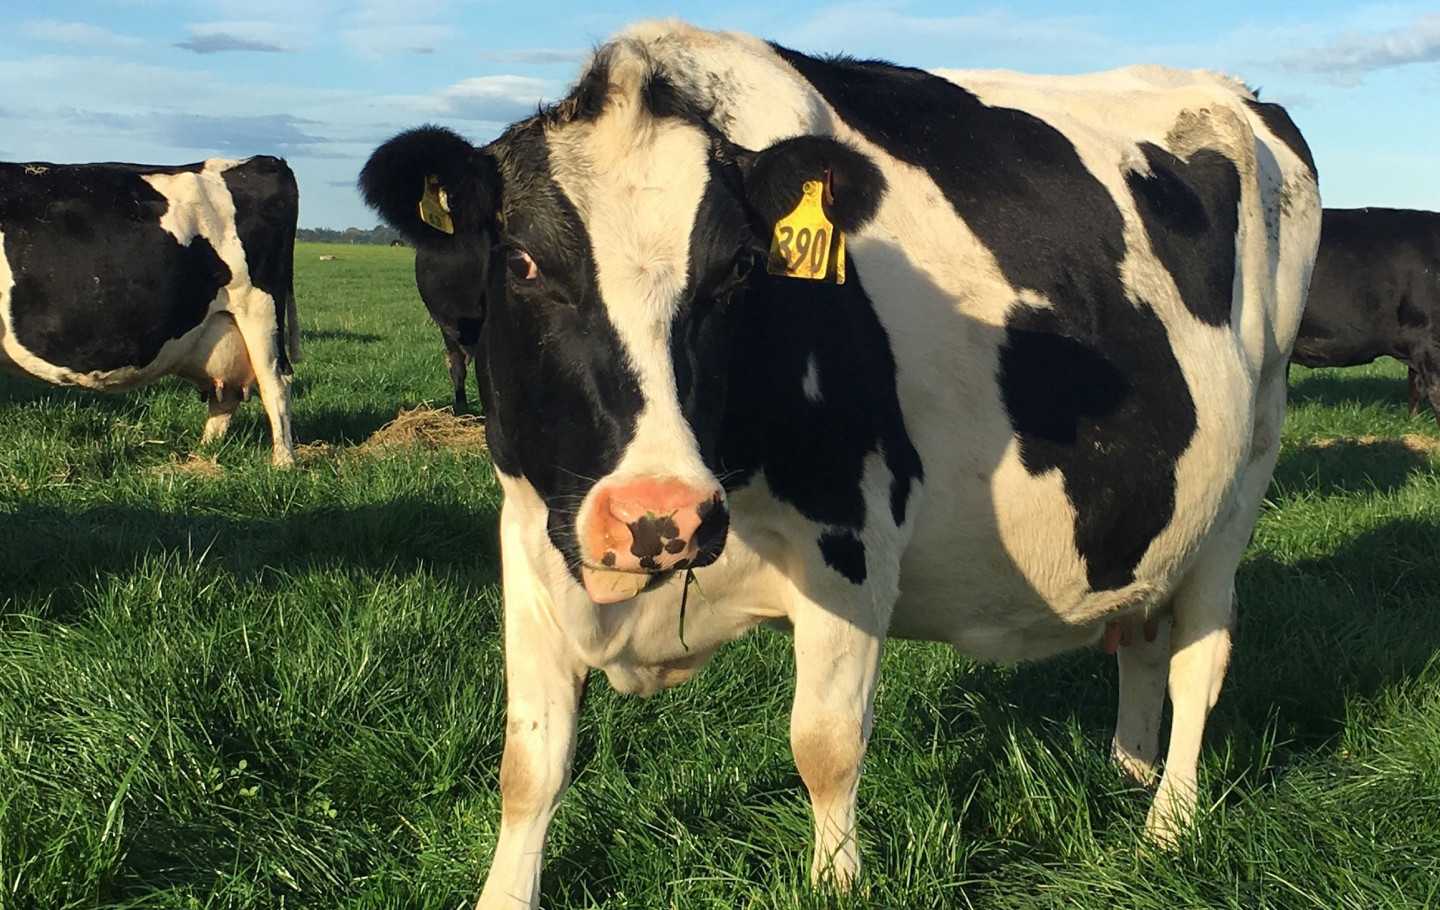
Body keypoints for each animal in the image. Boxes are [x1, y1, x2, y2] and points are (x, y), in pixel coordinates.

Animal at [0, 154, 299, 460]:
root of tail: (266, 160)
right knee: (228, 394)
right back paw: (204, 453)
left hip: (260, 311)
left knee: (276, 382)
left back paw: (282, 461)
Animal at [357, 21, 1319, 910]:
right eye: (522, 262)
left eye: (739, 270)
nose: (660, 516)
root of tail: (1242, 96)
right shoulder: (530, 532)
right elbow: (531, 761)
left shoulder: (851, 534)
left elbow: (824, 744)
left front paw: (835, 881)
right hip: (1158, 513)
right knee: (1143, 636)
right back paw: (1128, 769)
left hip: (1246, 475)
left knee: (1200, 656)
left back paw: (1169, 825)